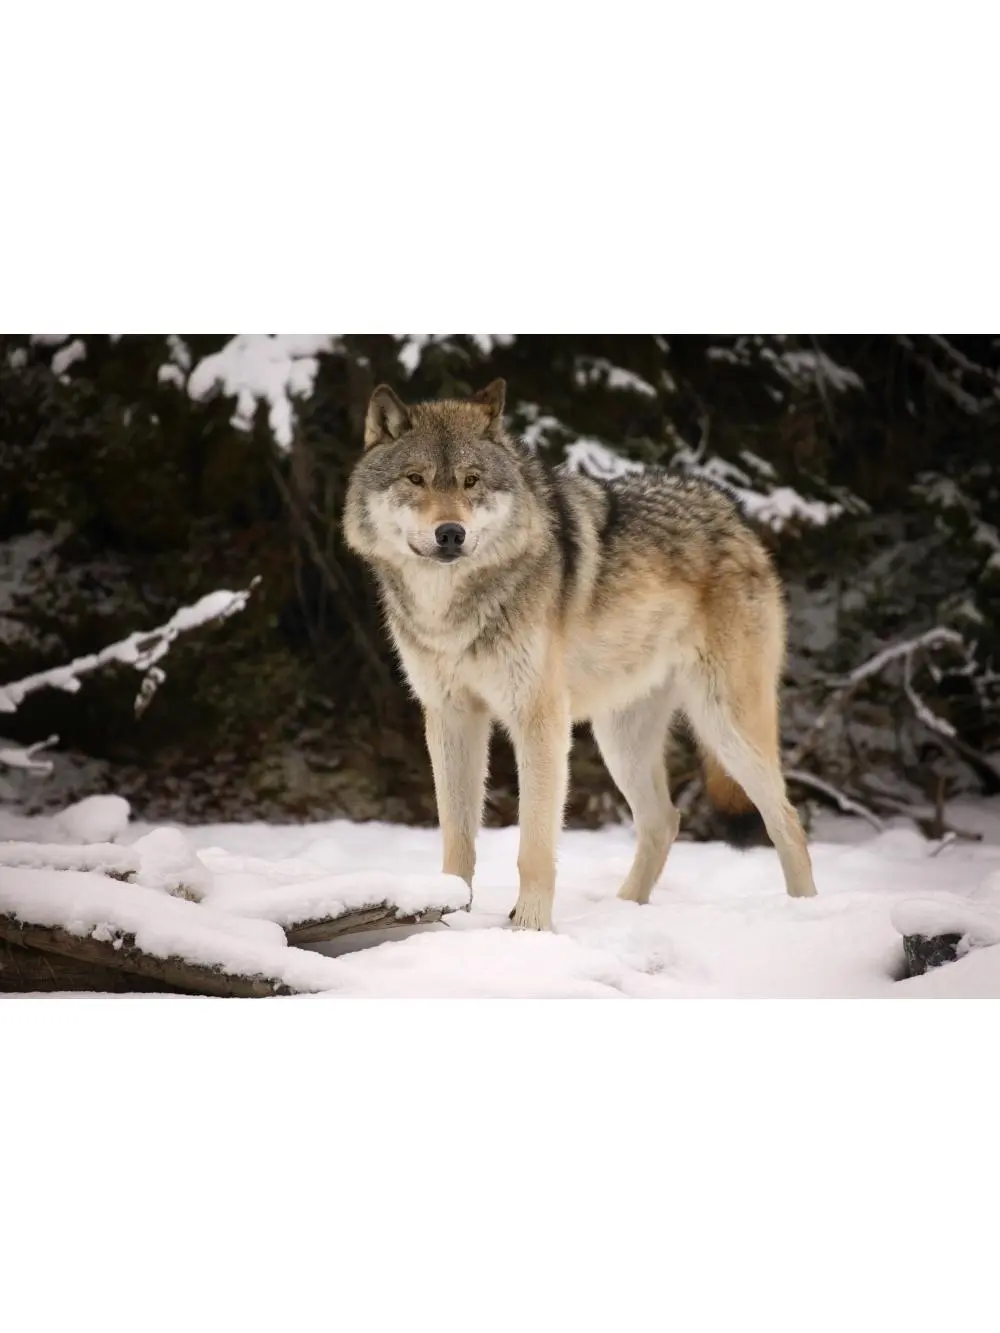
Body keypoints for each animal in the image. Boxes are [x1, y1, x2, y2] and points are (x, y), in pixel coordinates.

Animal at [343, 378, 817, 929]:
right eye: (415, 479)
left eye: (471, 481)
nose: (450, 534)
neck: (452, 607)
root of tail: (732, 511)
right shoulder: (450, 715)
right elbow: (458, 840)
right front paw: (448, 918)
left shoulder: (539, 719)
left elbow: (533, 847)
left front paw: (528, 929)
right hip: (621, 739)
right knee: (665, 820)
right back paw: (625, 910)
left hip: (726, 726)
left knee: (786, 819)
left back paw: (807, 913)